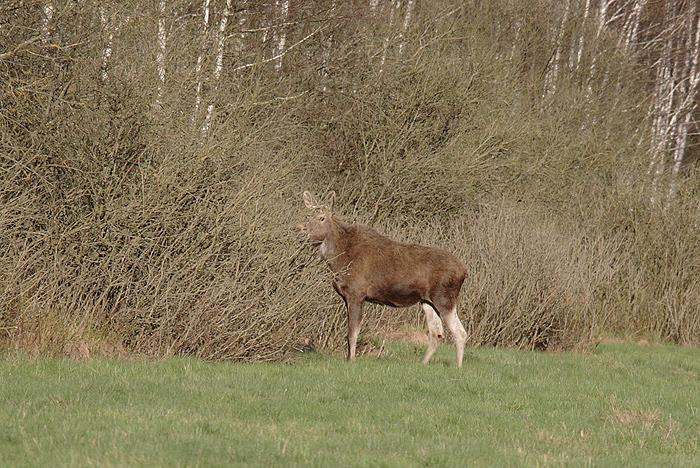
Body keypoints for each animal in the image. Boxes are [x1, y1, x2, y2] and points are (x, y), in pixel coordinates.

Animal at [296, 192, 468, 368]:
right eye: (307, 215)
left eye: (321, 218)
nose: (300, 229)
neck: (336, 260)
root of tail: (464, 271)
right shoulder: (347, 296)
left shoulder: (356, 294)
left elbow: (352, 332)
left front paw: (352, 360)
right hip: (427, 301)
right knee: (436, 333)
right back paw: (423, 363)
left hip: (444, 297)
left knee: (460, 332)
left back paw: (458, 366)